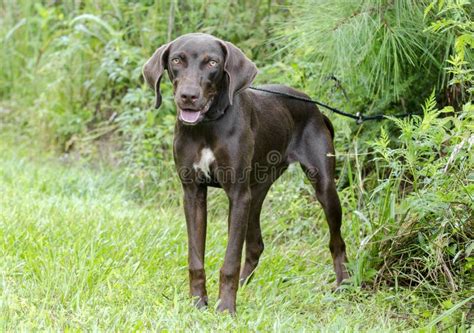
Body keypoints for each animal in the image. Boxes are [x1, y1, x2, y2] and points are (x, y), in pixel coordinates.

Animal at [143, 32, 346, 312]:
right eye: (176, 60)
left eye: (212, 63)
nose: (188, 96)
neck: (208, 125)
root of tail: (315, 108)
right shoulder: (193, 193)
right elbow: (196, 258)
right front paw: (198, 303)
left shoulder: (238, 195)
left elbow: (230, 259)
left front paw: (226, 308)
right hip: (256, 191)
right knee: (255, 245)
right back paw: (243, 285)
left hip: (322, 187)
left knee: (337, 241)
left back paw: (344, 285)